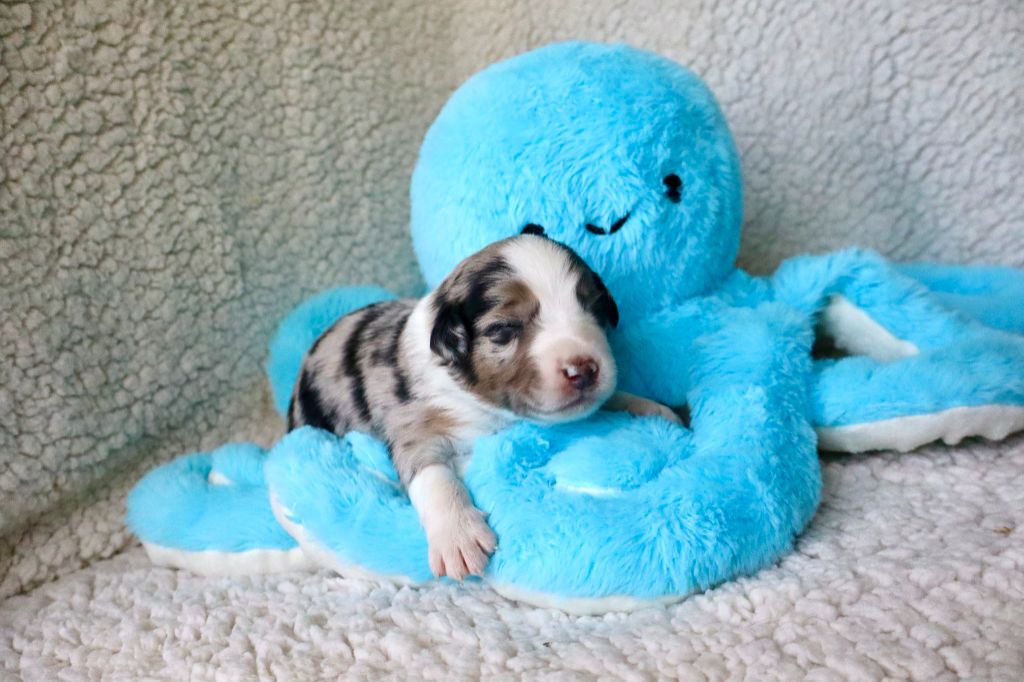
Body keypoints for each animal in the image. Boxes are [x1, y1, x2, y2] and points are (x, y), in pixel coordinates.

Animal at [288, 235, 679, 579]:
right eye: (504, 328)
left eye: (594, 309)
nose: (582, 369)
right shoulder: (411, 420)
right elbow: (433, 474)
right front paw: (458, 535)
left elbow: (612, 399)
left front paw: (655, 409)